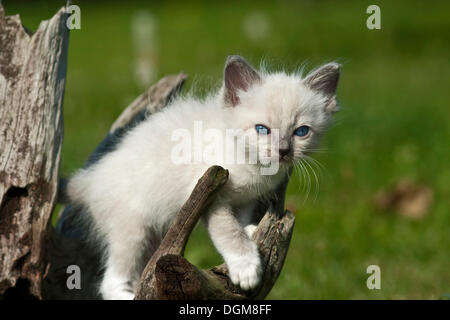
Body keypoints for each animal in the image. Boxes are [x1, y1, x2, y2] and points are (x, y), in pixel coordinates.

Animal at [65, 55, 342, 300]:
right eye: (262, 129)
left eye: (301, 132)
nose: (284, 151)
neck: (254, 169)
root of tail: (91, 178)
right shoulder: (211, 193)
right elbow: (228, 230)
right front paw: (246, 266)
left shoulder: (246, 199)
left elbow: (241, 221)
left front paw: (251, 231)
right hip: (133, 229)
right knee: (111, 280)